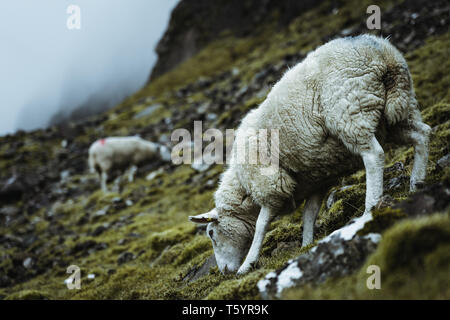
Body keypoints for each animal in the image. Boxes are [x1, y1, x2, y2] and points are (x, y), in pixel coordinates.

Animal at [188, 35, 430, 276]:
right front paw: (306, 244)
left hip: (351, 110)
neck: (243, 186)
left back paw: (370, 207)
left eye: (211, 233)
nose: (224, 272)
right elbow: (309, 213)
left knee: (374, 155)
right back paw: (416, 184)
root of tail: (384, 54)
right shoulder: (317, 179)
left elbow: (261, 225)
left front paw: (248, 263)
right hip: (397, 111)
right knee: (422, 134)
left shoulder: (271, 183)